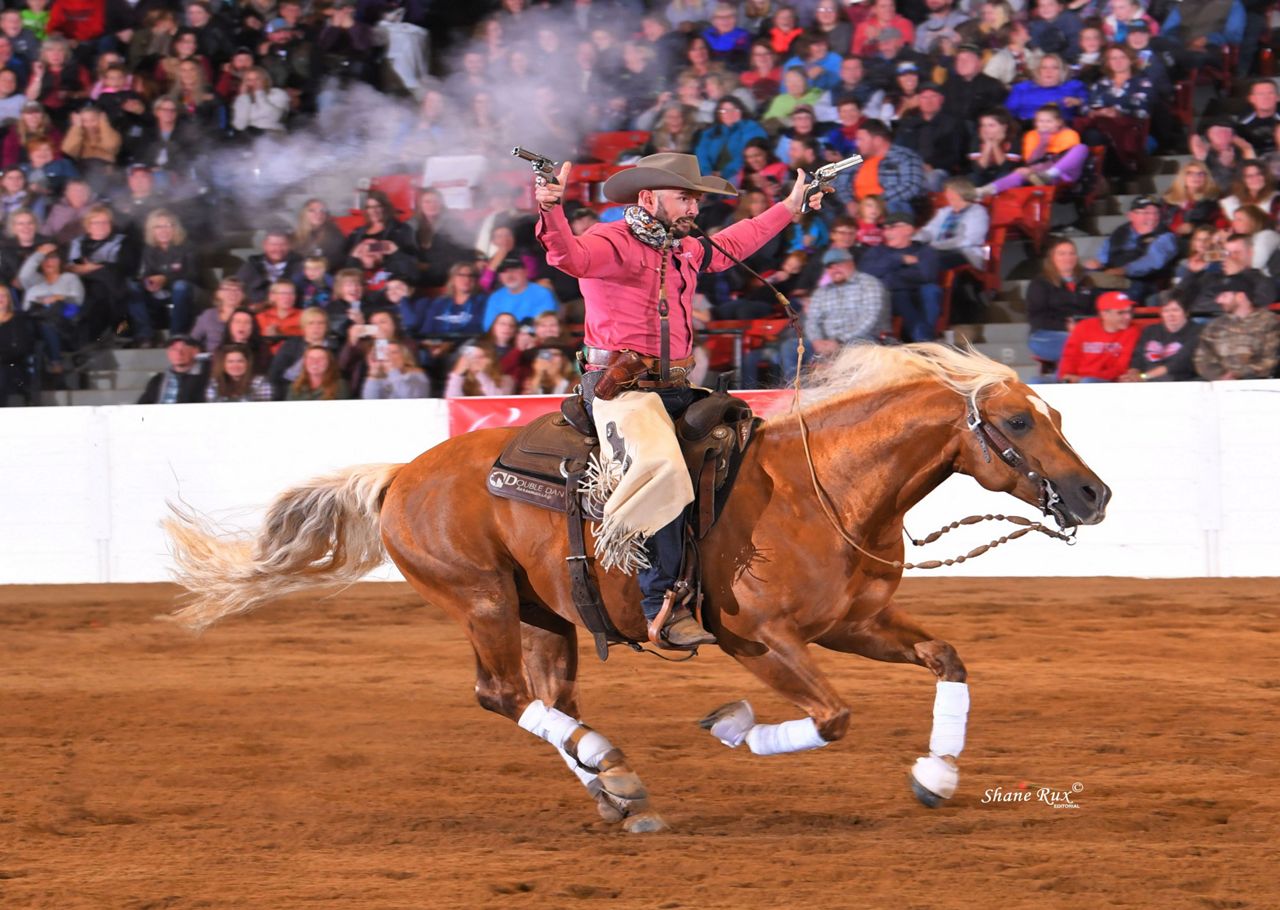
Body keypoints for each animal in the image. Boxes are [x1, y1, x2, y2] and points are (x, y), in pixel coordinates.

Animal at [167, 343, 1111, 834]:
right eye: (1017, 421)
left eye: (1058, 415)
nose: (1094, 494)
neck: (825, 490)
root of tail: (401, 475)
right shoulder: (757, 640)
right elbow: (833, 716)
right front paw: (734, 728)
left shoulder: (856, 623)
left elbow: (948, 658)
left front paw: (937, 777)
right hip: (480, 600)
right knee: (500, 694)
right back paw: (611, 771)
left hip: (545, 616)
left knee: (549, 701)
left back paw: (614, 785)